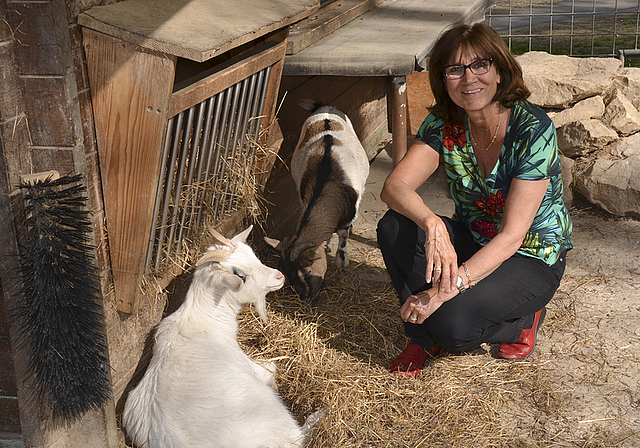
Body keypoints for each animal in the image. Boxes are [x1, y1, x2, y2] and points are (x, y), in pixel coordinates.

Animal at [122, 228, 320, 448]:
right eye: (240, 275)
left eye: (253, 255)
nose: (280, 276)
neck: (201, 320)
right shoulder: (250, 365)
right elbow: (272, 368)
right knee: (298, 436)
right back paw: (319, 416)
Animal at [264, 100, 370, 302]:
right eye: (286, 273)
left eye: (306, 270)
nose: (305, 297)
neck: (325, 178)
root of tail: (325, 108)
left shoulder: (349, 211)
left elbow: (343, 235)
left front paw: (341, 261)